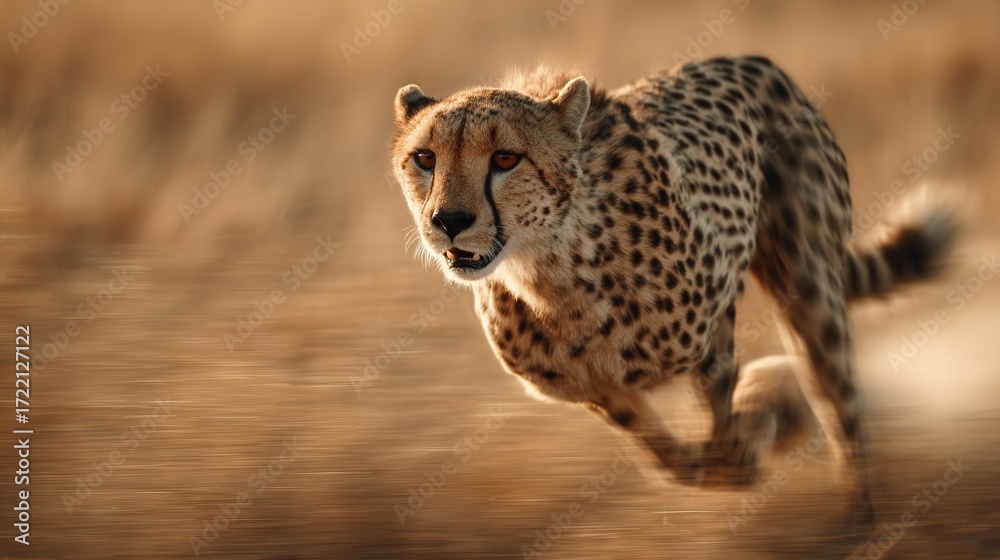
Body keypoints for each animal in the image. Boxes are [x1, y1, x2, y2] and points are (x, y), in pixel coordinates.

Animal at [390, 55, 954, 526]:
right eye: (425, 158)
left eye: (506, 158)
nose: (449, 221)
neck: (551, 271)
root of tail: (751, 60)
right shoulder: (596, 391)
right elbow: (666, 457)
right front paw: (731, 448)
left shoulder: (717, 304)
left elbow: (721, 409)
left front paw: (758, 425)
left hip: (810, 288)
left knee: (841, 404)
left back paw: (859, 521)